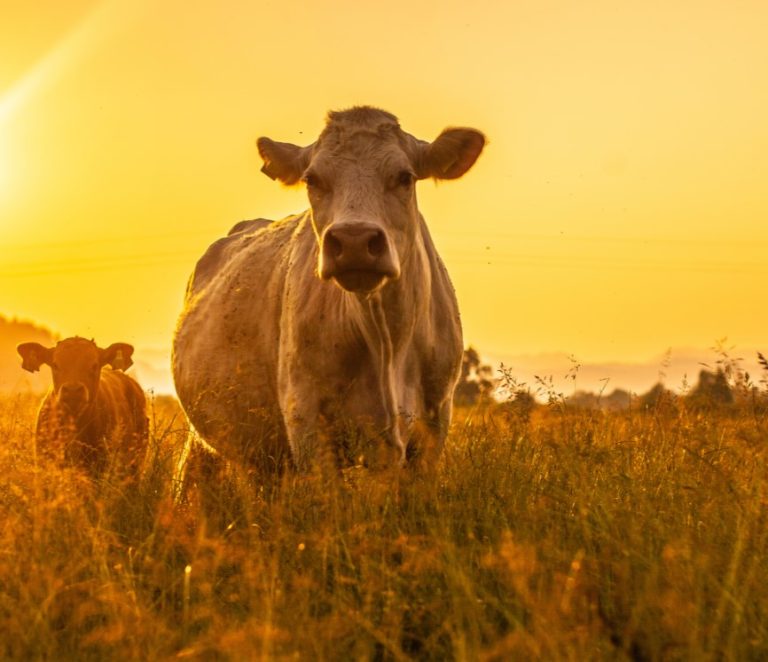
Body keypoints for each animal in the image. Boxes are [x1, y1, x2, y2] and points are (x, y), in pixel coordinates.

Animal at [174, 106, 486, 472]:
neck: (387, 343)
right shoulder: (306, 421)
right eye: (312, 179)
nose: (354, 240)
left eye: (405, 177)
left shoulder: (433, 427)